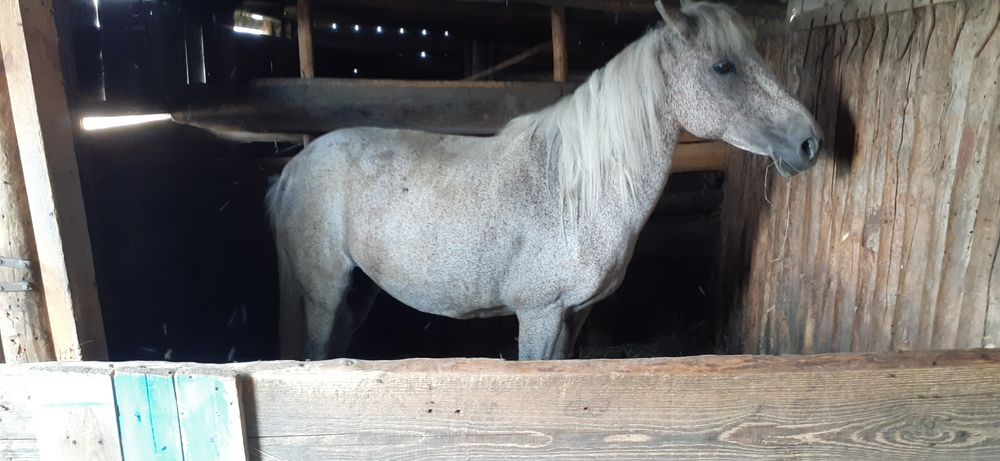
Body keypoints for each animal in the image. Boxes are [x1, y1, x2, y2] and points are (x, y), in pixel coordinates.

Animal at [267, 0, 823, 361]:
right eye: (723, 66)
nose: (809, 142)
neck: (573, 192)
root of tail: (295, 166)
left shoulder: (571, 316)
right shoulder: (538, 313)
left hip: (356, 295)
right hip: (324, 291)